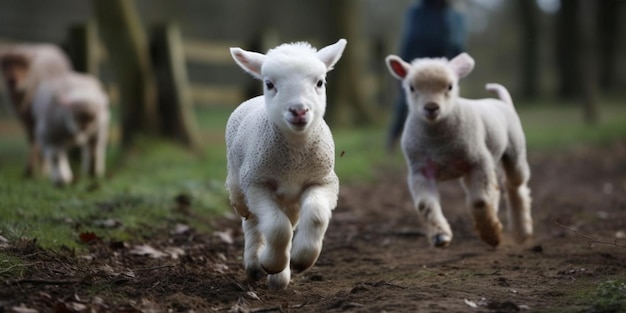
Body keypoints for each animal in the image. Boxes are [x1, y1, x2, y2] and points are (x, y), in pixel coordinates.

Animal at [224, 39, 344, 290]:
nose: (299, 110)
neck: (294, 158)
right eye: (269, 84)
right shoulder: (256, 183)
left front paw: (301, 259)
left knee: (288, 220)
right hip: (240, 182)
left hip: (291, 199)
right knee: (253, 223)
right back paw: (255, 264)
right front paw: (271, 263)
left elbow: (316, 216)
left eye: (320, 82)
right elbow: (278, 228)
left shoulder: (323, 180)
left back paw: (280, 276)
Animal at [386, 52, 532, 247]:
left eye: (450, 86)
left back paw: (521, 231)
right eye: (412, 87)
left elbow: (479, 201)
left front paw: (491, 235)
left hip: (515, 151)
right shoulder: (420, 170)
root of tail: (504, 103)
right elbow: (425, 205)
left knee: (516, 187)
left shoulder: (478, 162)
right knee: (497, 189)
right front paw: (440, 235)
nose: (431, 107)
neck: (438, 143)